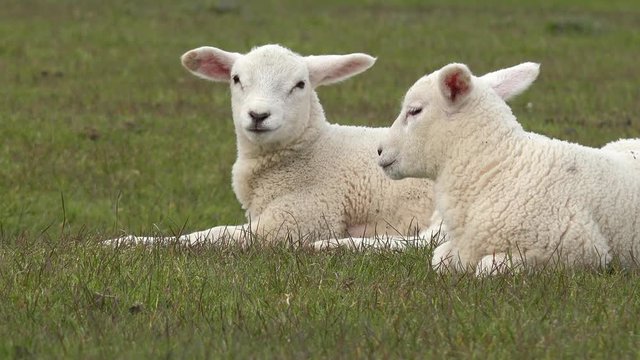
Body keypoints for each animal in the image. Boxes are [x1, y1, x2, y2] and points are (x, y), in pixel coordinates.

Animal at [112, 44, 438, 248]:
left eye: (300, 84)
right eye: (236, 79)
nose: (258, 115)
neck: (315, 150)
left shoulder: (299, 218)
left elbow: (214, 235)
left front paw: (128, 244)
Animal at [378, 62, 640, 274]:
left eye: (415, 111)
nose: (379, 151)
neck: (498, 168)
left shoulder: (578, 248)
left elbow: (486, 267)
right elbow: (438, 259)